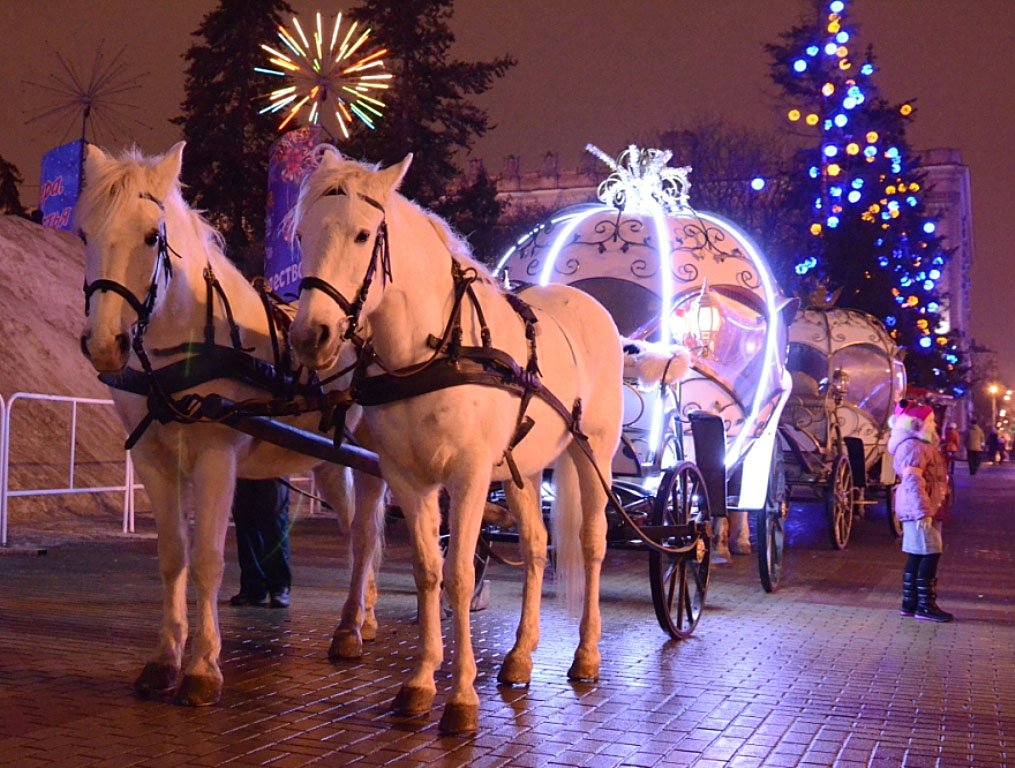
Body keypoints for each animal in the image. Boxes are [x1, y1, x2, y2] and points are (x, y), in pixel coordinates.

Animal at [75, 141, 387, 702]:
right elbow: (173, 556)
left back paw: (351, 628)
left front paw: (202, 667)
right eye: (84, 233)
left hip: (371, 458)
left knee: (366, 535)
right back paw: (364, 615)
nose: (105, 344)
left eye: (151, 236)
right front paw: (164, 659)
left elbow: (207, 560)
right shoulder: (155, 461)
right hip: (330, 461)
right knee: (357, 531)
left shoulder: (216, 458)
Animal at [288, 145, 625, 730]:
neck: (431, 352)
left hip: (594, 454)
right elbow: (428, 572)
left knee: (592, 542)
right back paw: (520, 656)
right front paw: (421, 681)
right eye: (303, 234)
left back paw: (586, 655)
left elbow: (460, 575)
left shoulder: (467, 476)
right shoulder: (406, 476)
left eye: (361, 235)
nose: (312, 336)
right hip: (520, 467)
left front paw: (462, 697)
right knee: (535, 547)